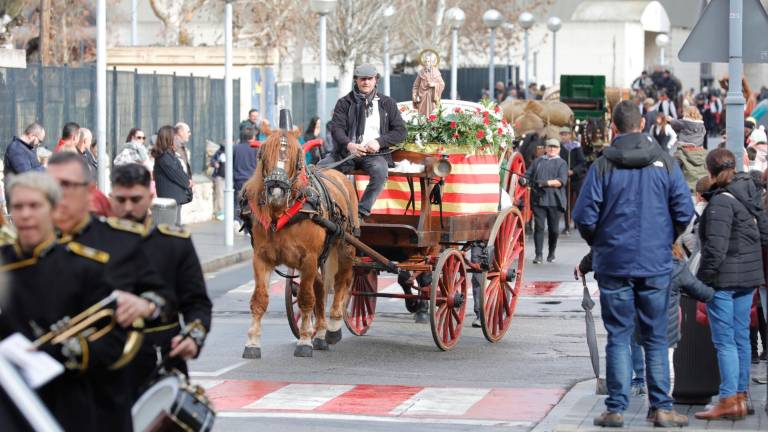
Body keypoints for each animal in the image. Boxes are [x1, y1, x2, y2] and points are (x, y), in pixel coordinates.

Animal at [242, 126, 358, 356]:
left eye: (295, 156)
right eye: (264, 153)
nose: (276, 189)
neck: (281, 214)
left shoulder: (309, 259)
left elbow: (305, 297)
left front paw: (304, 340)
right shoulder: (261, 258)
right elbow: (259, 299)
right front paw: (252, 343)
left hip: (345, 248)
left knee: (341, 282)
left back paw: (333, 327)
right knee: (321, 287)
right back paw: (320, 334)